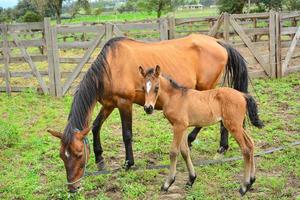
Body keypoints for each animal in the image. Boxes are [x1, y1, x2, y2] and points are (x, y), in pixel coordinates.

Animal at [139, 65, 264, 195]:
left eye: (156, 87)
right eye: (143, 87)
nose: (148, 108)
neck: (175, 97)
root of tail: (243, 95)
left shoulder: (178, 126)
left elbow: (173, 152)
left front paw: (167, 183)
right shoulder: (182, 127)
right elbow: (185, 151)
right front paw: (191, 179)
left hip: (233, 126)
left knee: (245, 150)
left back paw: (244, 187)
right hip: (237, 126)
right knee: (251, 144)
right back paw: (251, 180)